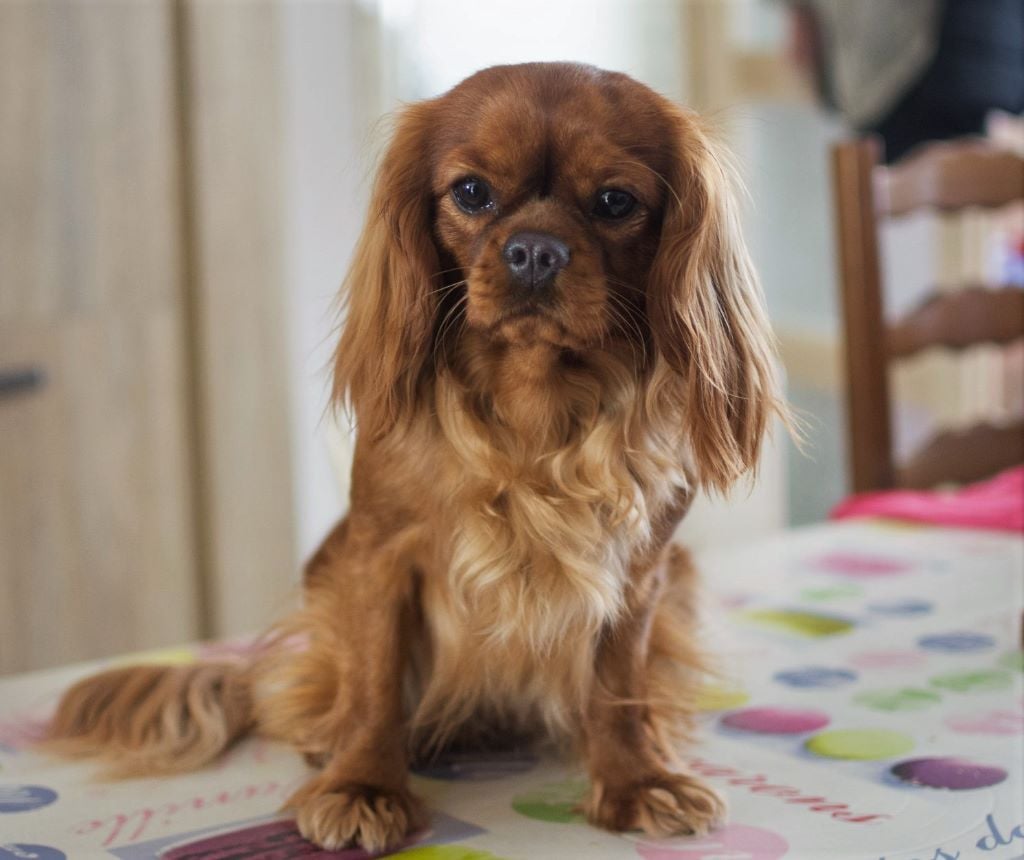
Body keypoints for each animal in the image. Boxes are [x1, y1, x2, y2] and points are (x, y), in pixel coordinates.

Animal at [41, 63, 782, 851]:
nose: (535, 249)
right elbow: (374, 687)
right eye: (472, 193)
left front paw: (637, 780)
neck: (535, 409)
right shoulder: (380, 559)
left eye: (615, 202)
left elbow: (618, 689)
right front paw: (364, 786)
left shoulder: (639, 576)